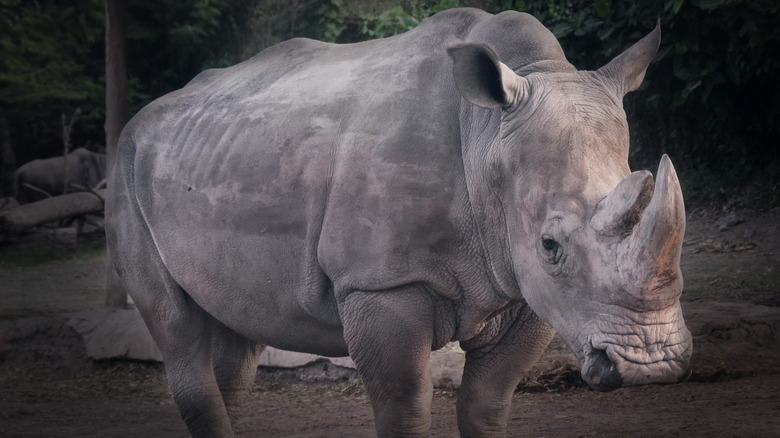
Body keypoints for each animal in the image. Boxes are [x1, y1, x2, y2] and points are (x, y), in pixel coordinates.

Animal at [106, 6, 692, 438]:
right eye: (550, 245)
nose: (653, 365)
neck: (486, 136)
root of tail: (144, 117)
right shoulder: (381, 281)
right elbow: (405, 405)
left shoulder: (523, 289)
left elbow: (487, 403)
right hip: (125, 168)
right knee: (175, 324)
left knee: (238, 327)